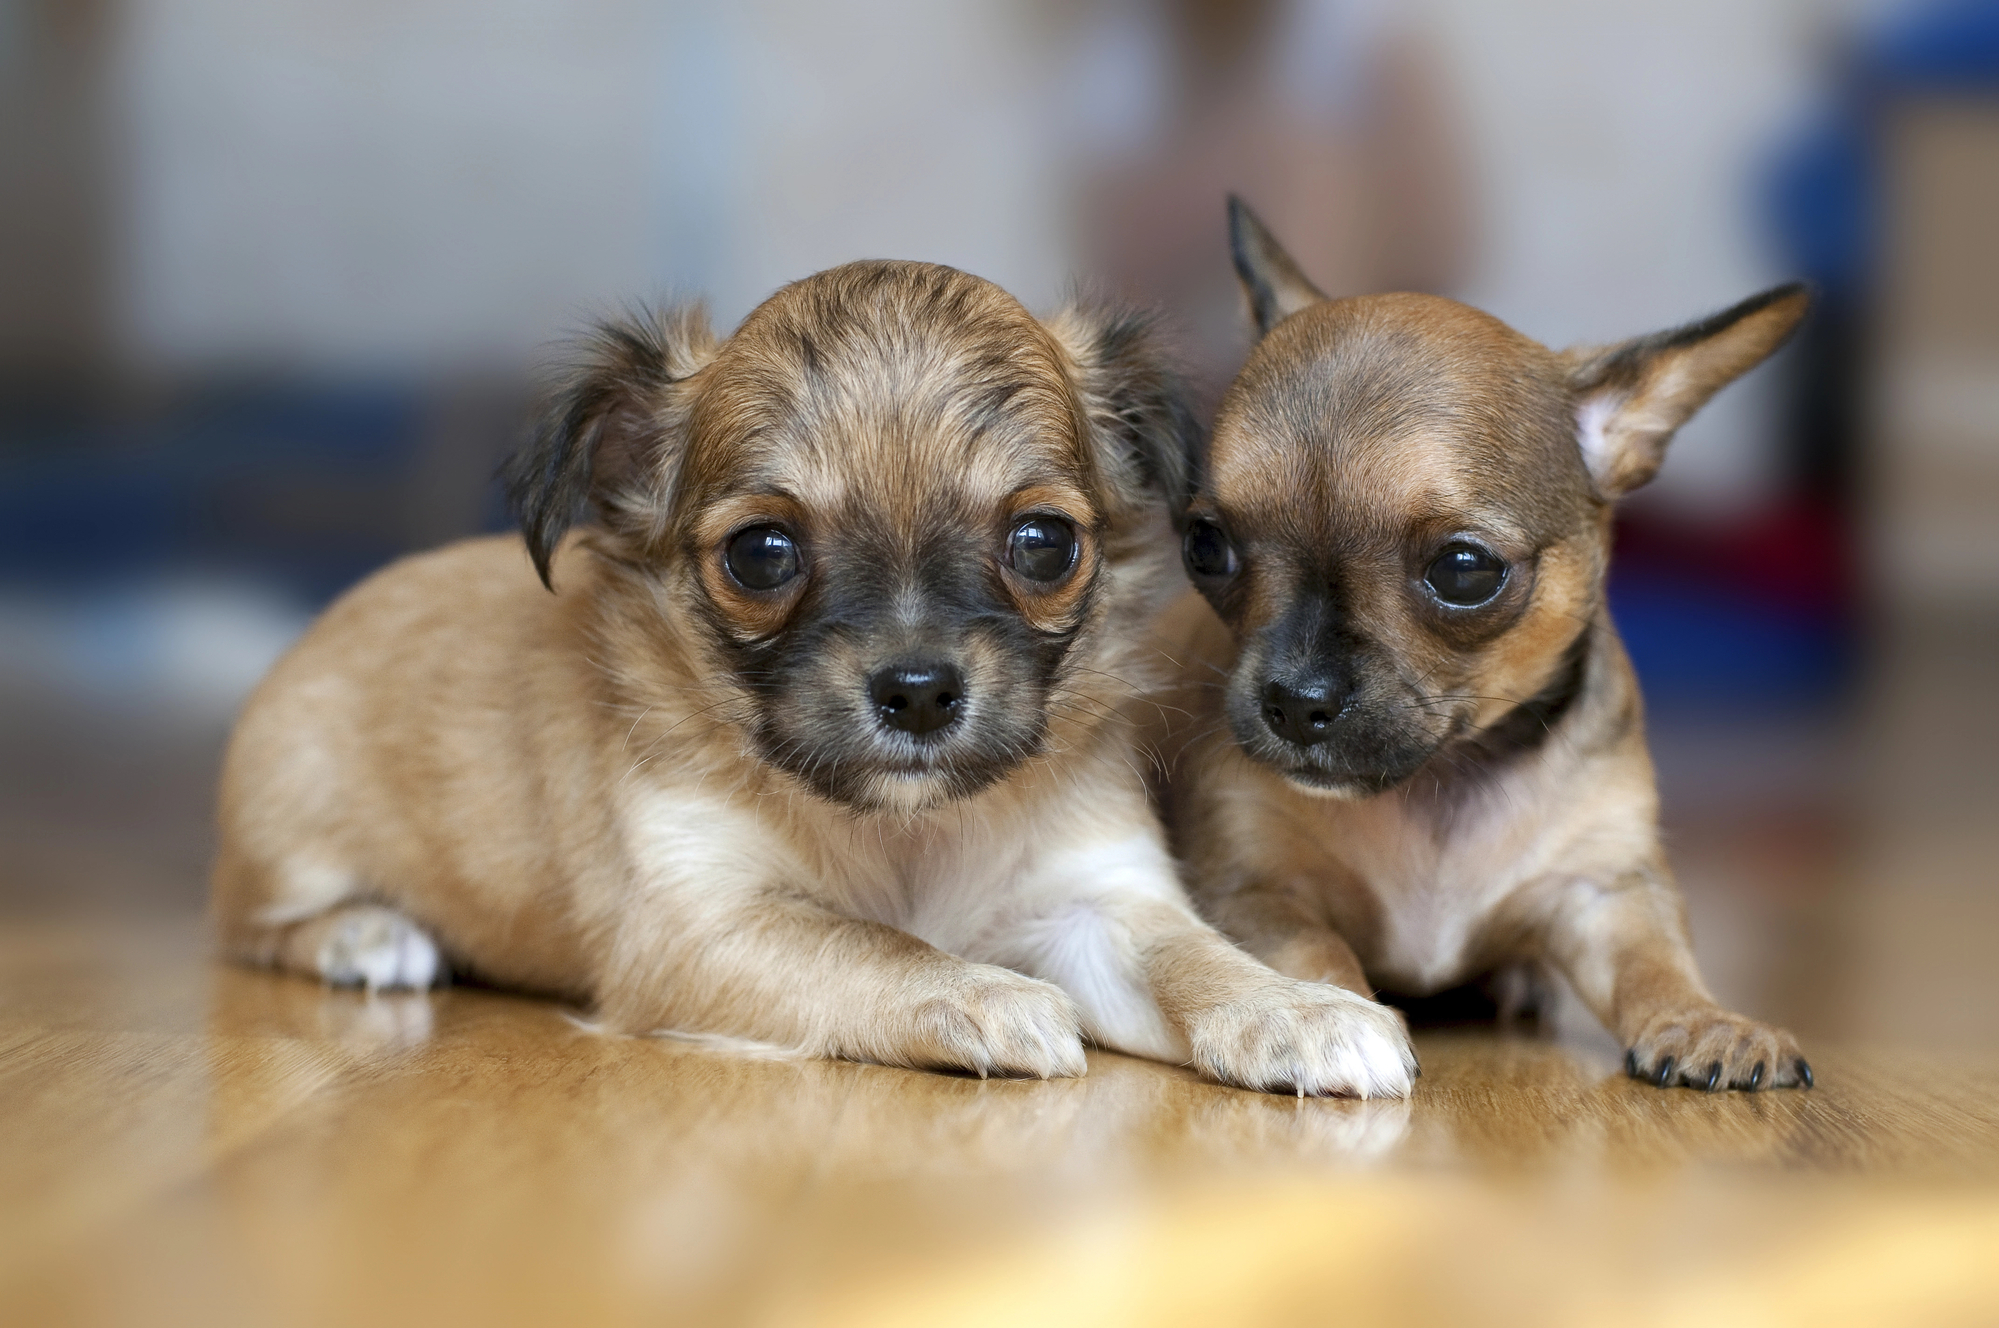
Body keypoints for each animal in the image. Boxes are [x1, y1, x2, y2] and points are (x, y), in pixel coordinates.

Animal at [210, 260, 1415, 1096]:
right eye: (761, 553)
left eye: (1042, 544)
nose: (918, 689)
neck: (906, 833)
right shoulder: (705, 923)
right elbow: (872, 944)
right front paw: (982, 994)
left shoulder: (1096, 903)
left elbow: (1196, 960)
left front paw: (1299, 1008)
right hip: (291, 821)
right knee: (254, 927)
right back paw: (367, 936)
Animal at [1143, 197, 1815, 1088]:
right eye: (1205, 546)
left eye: (1463, 571)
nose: (1292, 699)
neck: (1443, 781)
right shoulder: (1254, 892)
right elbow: (1312, 957)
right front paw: (1326, 1020)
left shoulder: (1607, 891)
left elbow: (1656, 962)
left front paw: (1705, 1020)